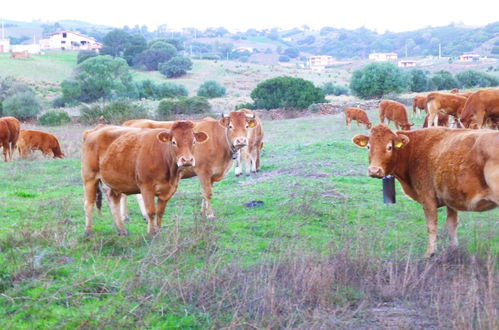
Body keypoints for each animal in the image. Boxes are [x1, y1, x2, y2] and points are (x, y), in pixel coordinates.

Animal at [81, 121, 209, 235]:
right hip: (90, 177)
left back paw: (122, 230)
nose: (187, 160)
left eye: (194, 141)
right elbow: (151, 211)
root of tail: (96, 129)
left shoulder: (168, 190)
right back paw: (88, 231)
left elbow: (160, 212)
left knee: (113, 201)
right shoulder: (146, 187)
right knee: (89, 204)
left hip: (114, 181)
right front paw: (151, 233)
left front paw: (158, 232)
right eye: (173, 142)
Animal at [352, 125, 499, 256]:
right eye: (368, 146)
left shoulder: (427, 197)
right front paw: (453, 250)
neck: (413, 150)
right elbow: (451, 224)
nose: (374, 170)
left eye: (389, 147)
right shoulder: (450, 198)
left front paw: (430, 253)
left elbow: (431, 225)